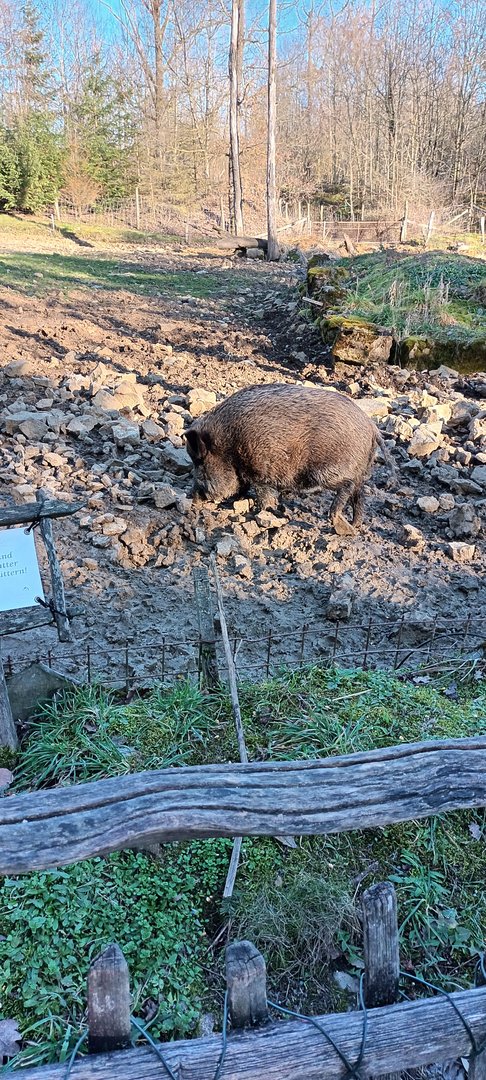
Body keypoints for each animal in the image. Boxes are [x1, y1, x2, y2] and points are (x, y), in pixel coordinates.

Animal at [185, 383, 392, 535]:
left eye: (200, 461)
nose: (192, 499)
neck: (228, 446)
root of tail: (372, 428)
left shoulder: (260, 472)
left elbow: (265, 498)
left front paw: (259, 513)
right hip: (359, 471)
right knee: (359, 495)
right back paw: (355, 525)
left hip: (326, 470)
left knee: (348, 486)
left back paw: (343, 527)